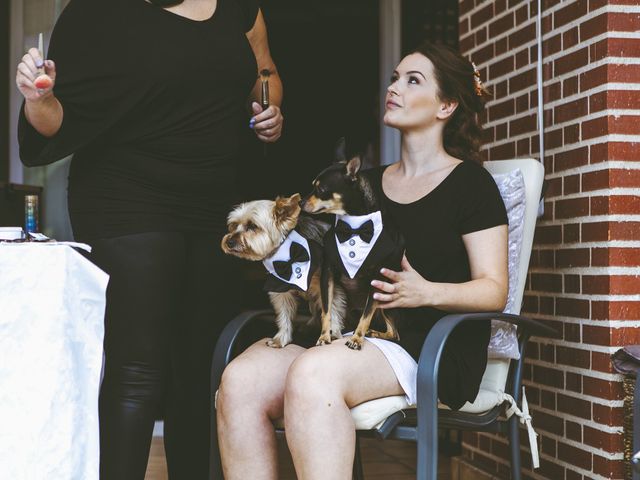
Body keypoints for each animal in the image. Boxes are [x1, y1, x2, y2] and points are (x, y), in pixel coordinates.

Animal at [222, 193, 348, 346]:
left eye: (252, 226)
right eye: (234, 226)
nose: (229, 242)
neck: (286, 250)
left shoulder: (328, 284)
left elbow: (332, 307)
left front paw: (332, 333)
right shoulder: (281, 288)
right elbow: (284, 314)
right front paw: (280, 339)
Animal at [302, 156, 402, 350]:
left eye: (321, 190)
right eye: (312, 187)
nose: (300, 202)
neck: (353, 225)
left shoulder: (377, 280)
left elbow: (366, 315)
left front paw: (356, 339)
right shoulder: (328, 275)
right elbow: (326, 310)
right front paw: (324, 336)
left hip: (386, 298)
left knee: (394, 333)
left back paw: (371, 332)